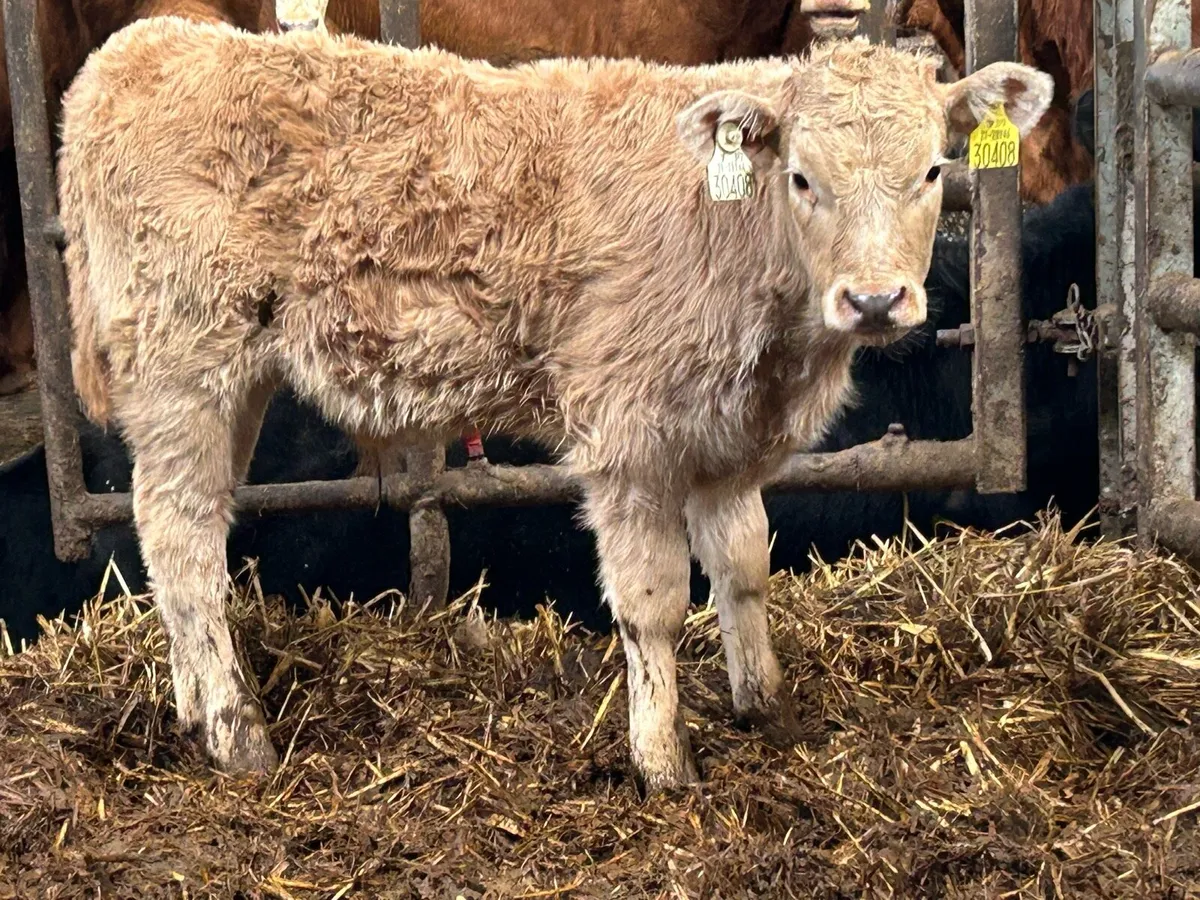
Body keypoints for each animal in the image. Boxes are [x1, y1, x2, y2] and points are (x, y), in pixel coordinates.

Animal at [55, 18, 1052, 789]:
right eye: (803, 177)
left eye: (934, 171)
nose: (876, 300)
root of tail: (140, 47)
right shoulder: (628, 433)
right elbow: (654, 602)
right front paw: (664, 764)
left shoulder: (726, 441)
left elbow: (744, 567)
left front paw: (765, 709)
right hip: (185, 363)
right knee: (182, 539)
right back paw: (239, 737)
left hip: (235, 380)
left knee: (177, 532)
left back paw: (195, 708)